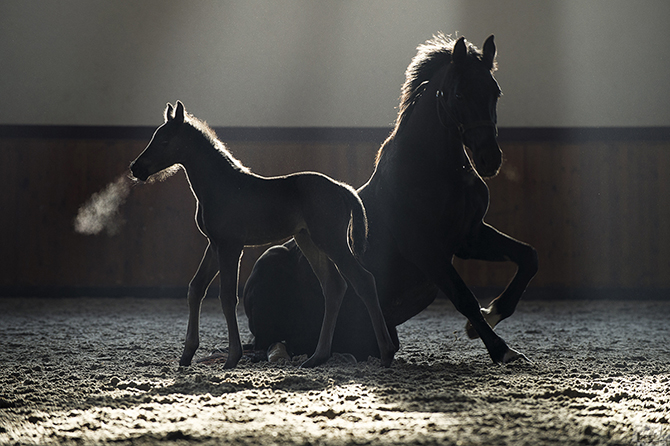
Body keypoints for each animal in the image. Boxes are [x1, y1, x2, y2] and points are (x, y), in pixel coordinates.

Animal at [244, 34, 540, 362]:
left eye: (495, 92)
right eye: (459, 94)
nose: (490, 159)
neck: (437, 173)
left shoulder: (469, 238)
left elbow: (528, 257)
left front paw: (492, 314)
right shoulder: (425, 249)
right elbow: (464, 298)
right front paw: (502, 349)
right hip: (269, 262)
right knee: (267, 341)